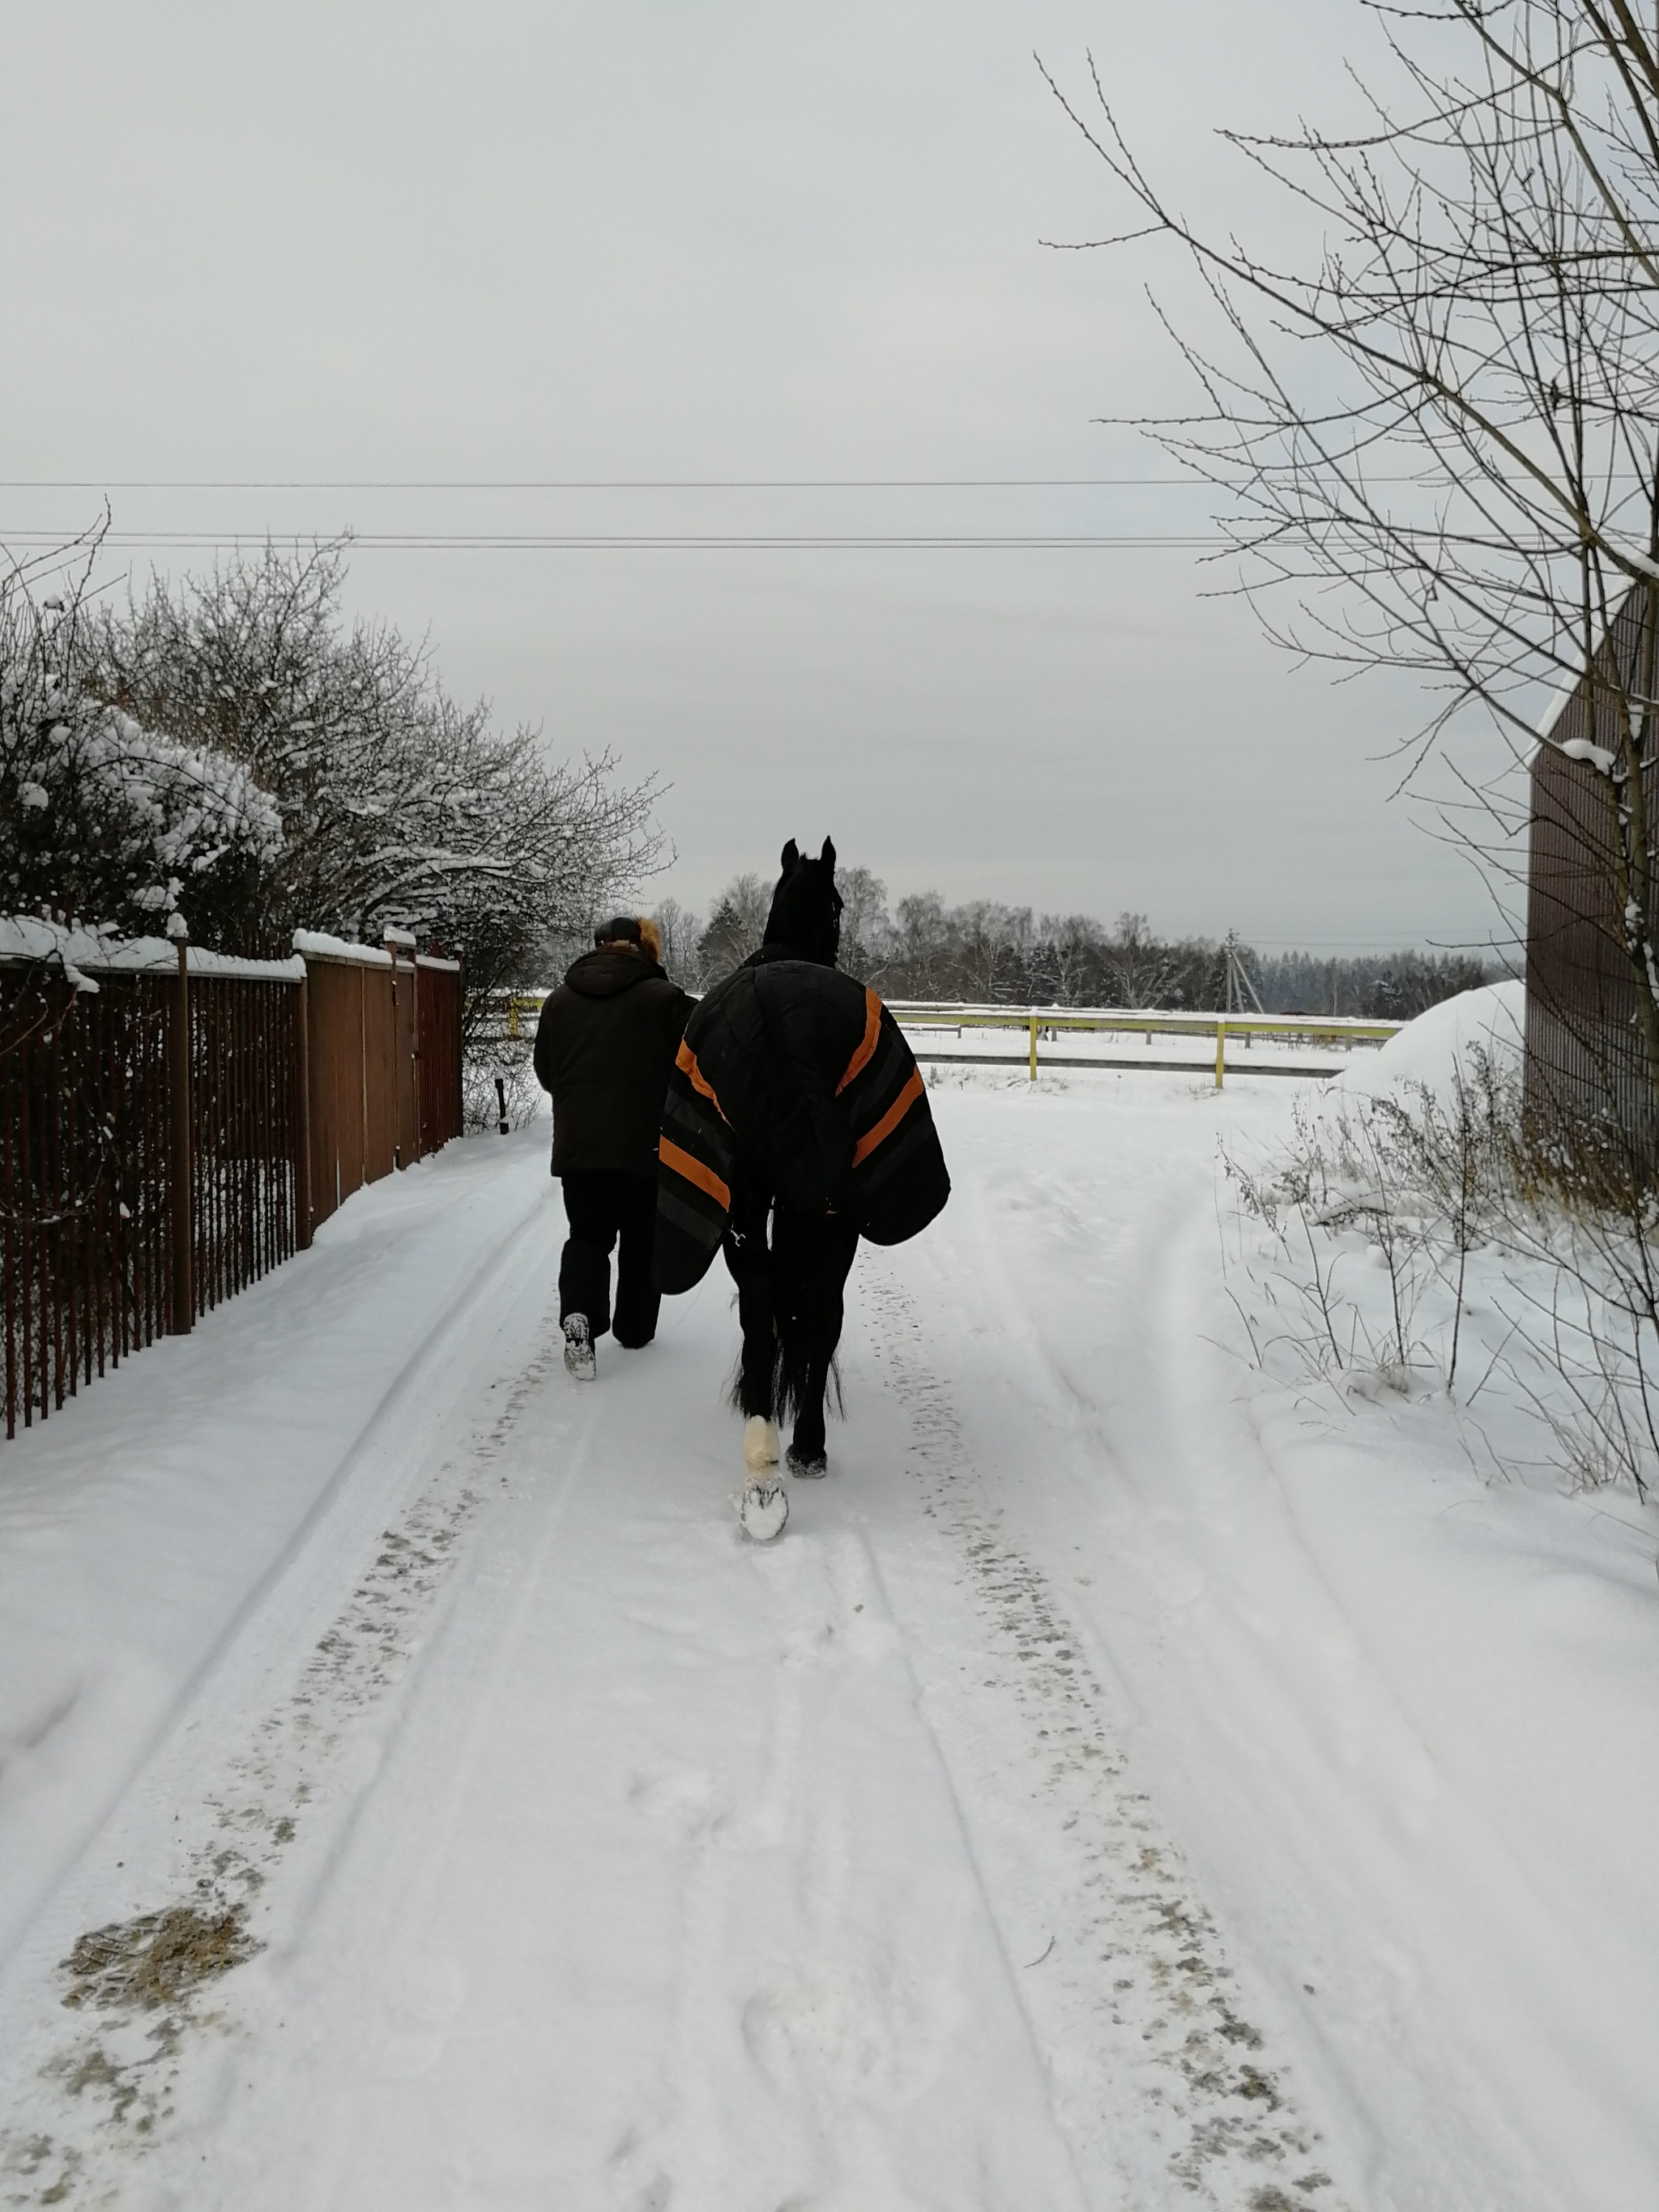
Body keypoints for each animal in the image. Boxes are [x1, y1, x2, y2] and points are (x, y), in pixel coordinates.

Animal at [659, 836, 955, 1530]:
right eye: (840, 904)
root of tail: (782, 1037)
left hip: (760, 1207)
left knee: (773, 1304)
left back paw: (772, 1452)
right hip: (819, 1212)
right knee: (809, 1310)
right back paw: (799, 1446)